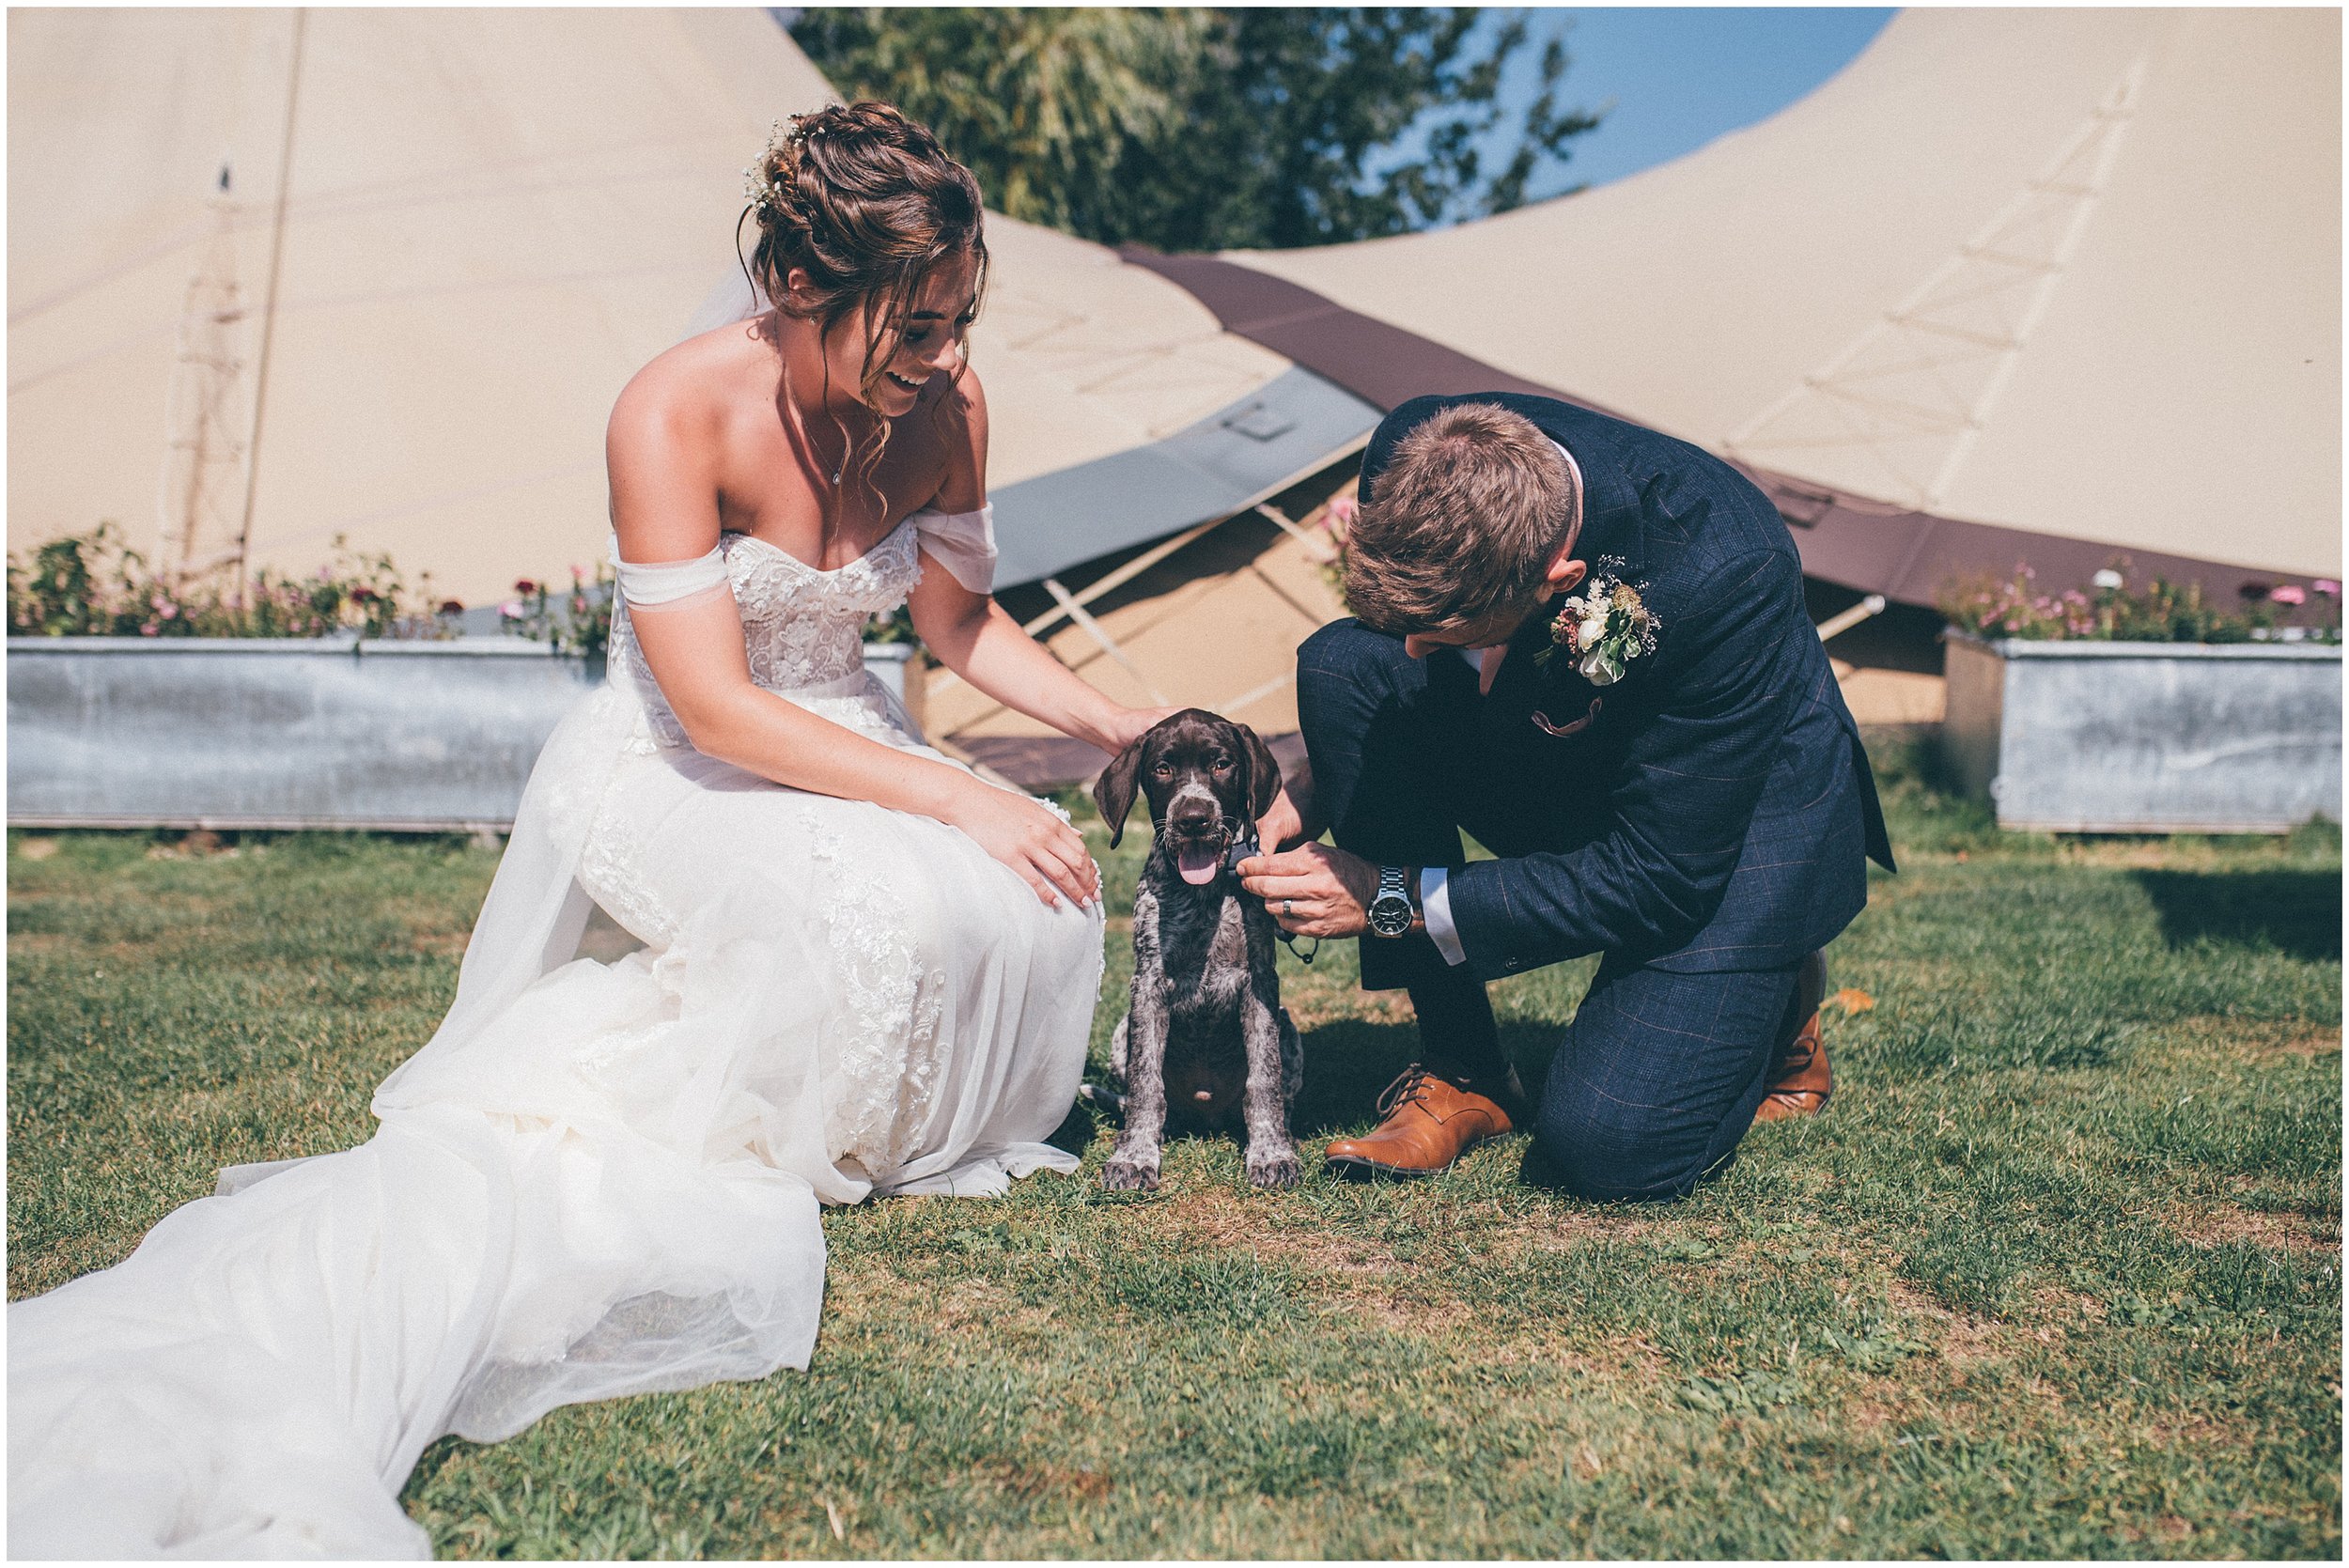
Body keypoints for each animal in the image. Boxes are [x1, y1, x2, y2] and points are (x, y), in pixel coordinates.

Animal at [1085, 708, 1297, 1188]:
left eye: (1221, 764)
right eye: (1162, 769)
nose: (1194, 818)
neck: (1204, 895)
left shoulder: (1260, 983)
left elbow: (1264, 1079)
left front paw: (1271, 1151)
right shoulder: (1147, 985)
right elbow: (1146, 1083)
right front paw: (1135, 1156)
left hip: (1289, 1029)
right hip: (1121, 1030)